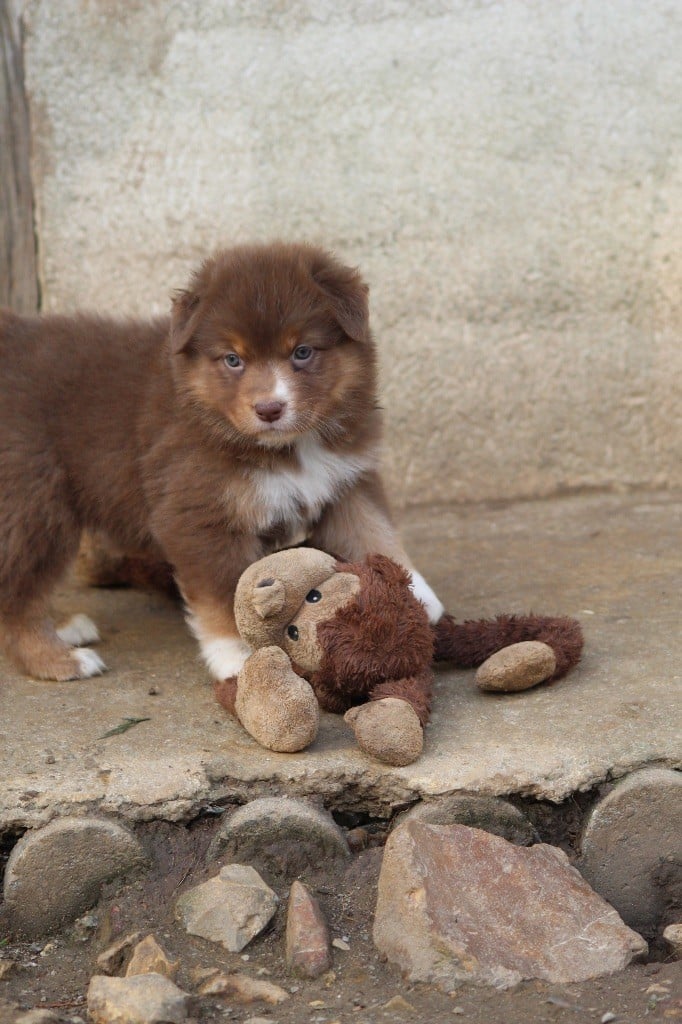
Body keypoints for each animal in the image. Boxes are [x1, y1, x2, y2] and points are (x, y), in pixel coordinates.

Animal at [0, 241, 440, 679]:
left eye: (302, 352)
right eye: (233, 359)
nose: (269, 409)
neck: (289, 447)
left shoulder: (347, 482)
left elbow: (376, 536)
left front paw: (419, 598)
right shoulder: (200, 515)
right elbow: (226, 589)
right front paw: (237, 654)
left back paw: (63, 628)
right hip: (34, 505)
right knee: (16, 593)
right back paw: (59, 658)